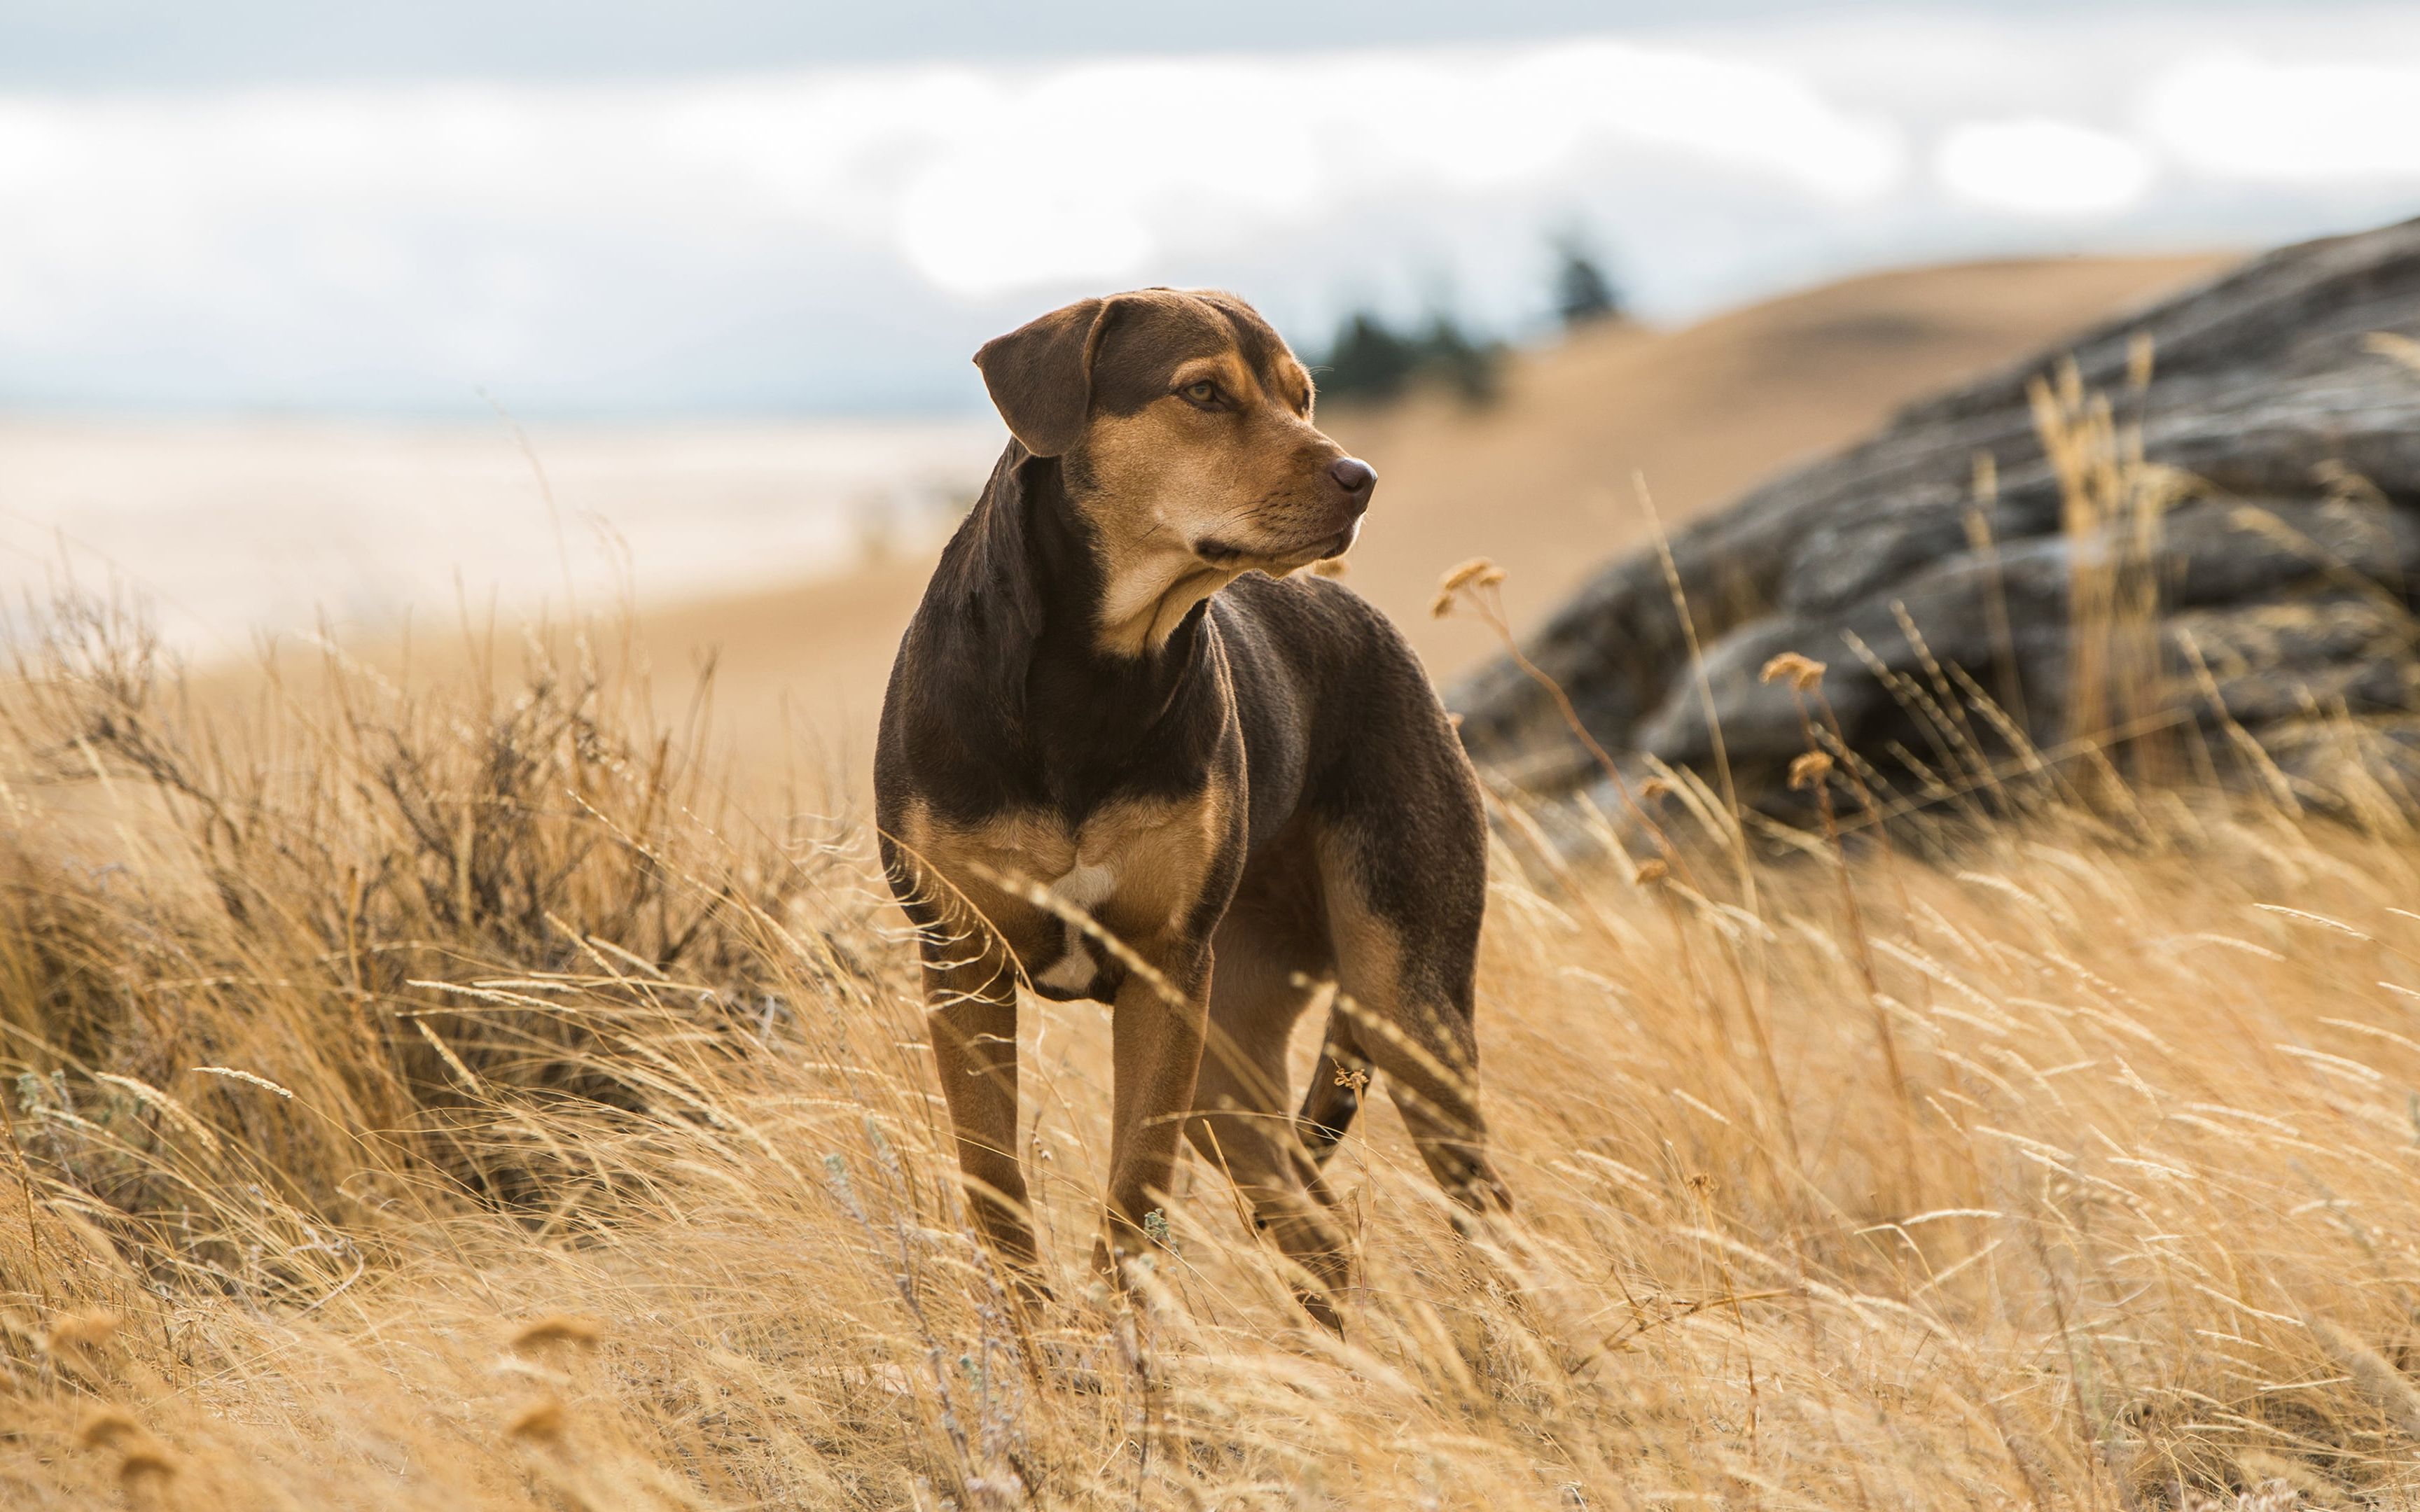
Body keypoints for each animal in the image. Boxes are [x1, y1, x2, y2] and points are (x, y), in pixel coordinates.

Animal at [880, 283, 1500, 1316]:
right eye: (1203, 392)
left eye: (1302, 394)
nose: (1360, 478)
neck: (1091, 676)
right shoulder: (963, 964)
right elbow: (998, 1197)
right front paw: (1040, 1349)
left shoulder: (1167, 973)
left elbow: (1133, 1202)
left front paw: (1119, 1349)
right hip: (1229, 1056)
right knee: (1318, 1228)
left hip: (1400, 1000)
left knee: (1479, 1214)